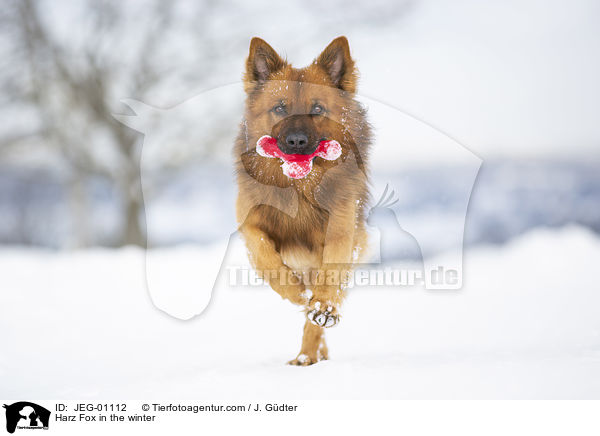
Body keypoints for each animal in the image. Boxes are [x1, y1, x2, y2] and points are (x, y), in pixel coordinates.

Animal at [233, 36, 370, 364]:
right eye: (279, 108)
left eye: (317, 109)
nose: (296, 141)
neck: (299, 188)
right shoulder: (248, 223)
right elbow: (266, 256)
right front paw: (295, 292)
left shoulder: (341, 231)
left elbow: (330, 276)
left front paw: (322, 307)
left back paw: (309, 351)